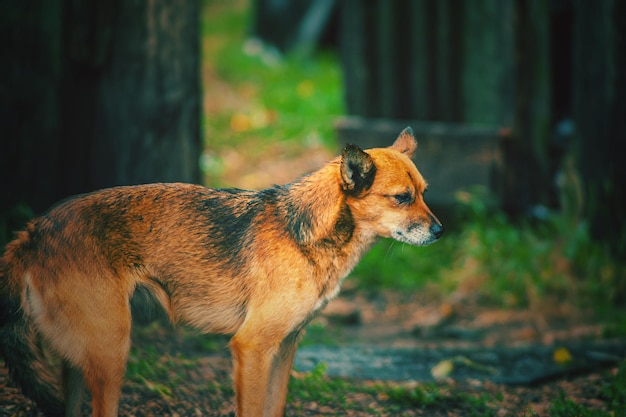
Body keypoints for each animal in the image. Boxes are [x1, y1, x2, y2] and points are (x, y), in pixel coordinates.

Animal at [0, 127, 442, 416]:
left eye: (424, 193)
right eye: (401, 198)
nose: (440, 231)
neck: (303, 233)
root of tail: (33, 230)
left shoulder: (284, 348)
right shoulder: (251, 347)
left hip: (82, 362)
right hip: (112, 354)